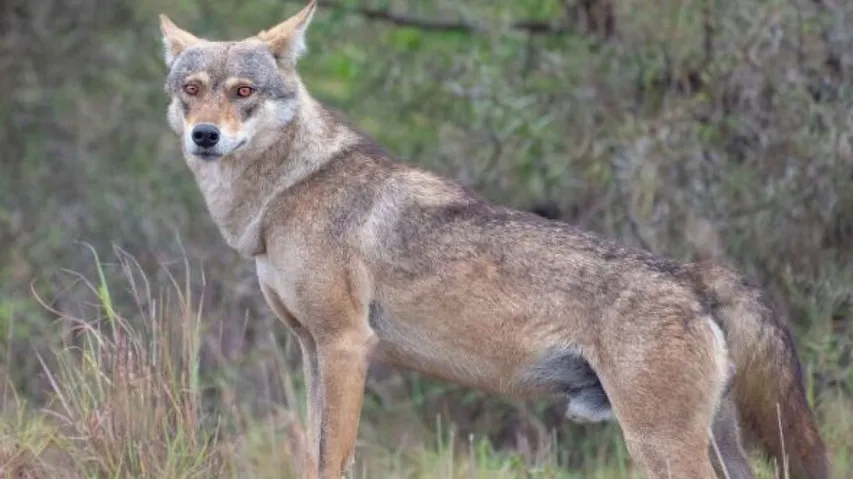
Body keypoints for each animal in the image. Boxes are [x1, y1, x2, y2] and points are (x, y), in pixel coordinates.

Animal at [158, 2, 829, 478]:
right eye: (192, 89)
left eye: (243, 92)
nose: (205, 136)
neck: (282, 195)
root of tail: (693, 275)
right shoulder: (310, 349)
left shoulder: (346, 346)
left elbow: (332, 459)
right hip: (710, 442)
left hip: (659, 444)